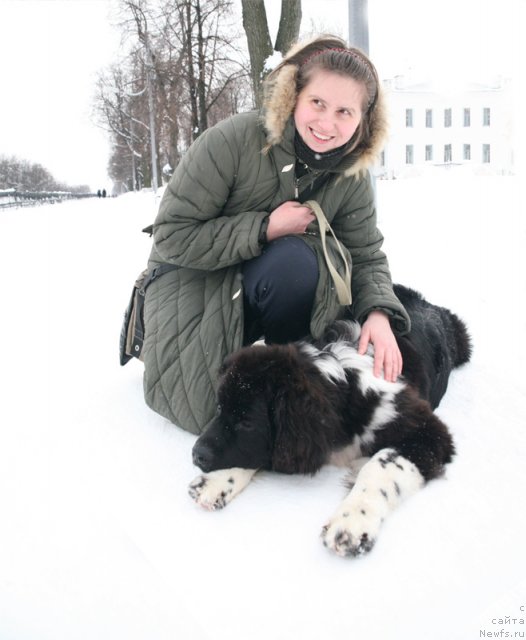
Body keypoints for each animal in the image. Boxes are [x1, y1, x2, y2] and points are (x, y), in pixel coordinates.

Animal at [190, 288, 474, 556]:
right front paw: (216, 480)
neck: (345, 385)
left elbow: (381, 465)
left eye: (247, 422)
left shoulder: (426, 430)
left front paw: (352, 522)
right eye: (219, 407)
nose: (196, 454)